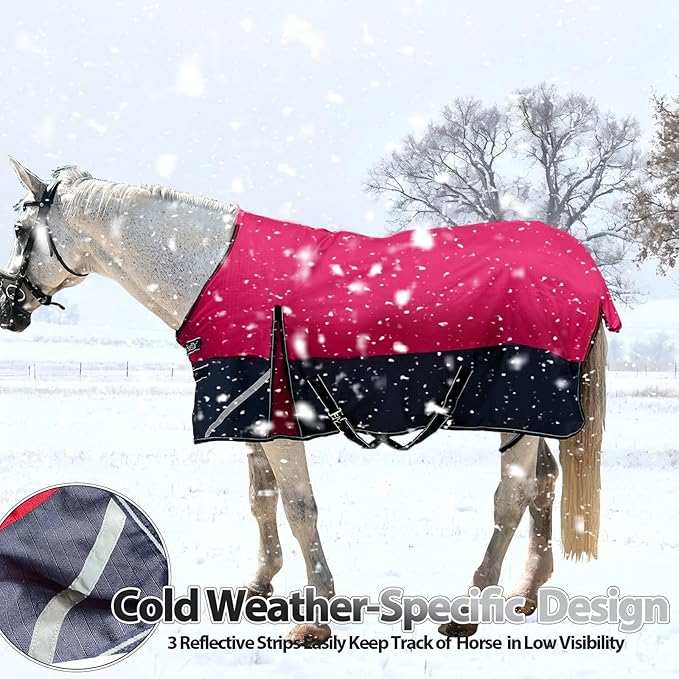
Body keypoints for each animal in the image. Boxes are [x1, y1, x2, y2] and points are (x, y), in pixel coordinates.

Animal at [0, 159, 613, 644]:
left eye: (20, 230)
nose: (8, 305)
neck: (209, 272)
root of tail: (581, 265)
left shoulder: (279, 424)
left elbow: (299, 509)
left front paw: (317, 613)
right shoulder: (249, 420)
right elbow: (261, 500)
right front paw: (257, 585)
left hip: (517, 409)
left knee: (512, 499)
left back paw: (467, 609)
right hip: (529, 417)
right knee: (545, 485)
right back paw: (527, 590)